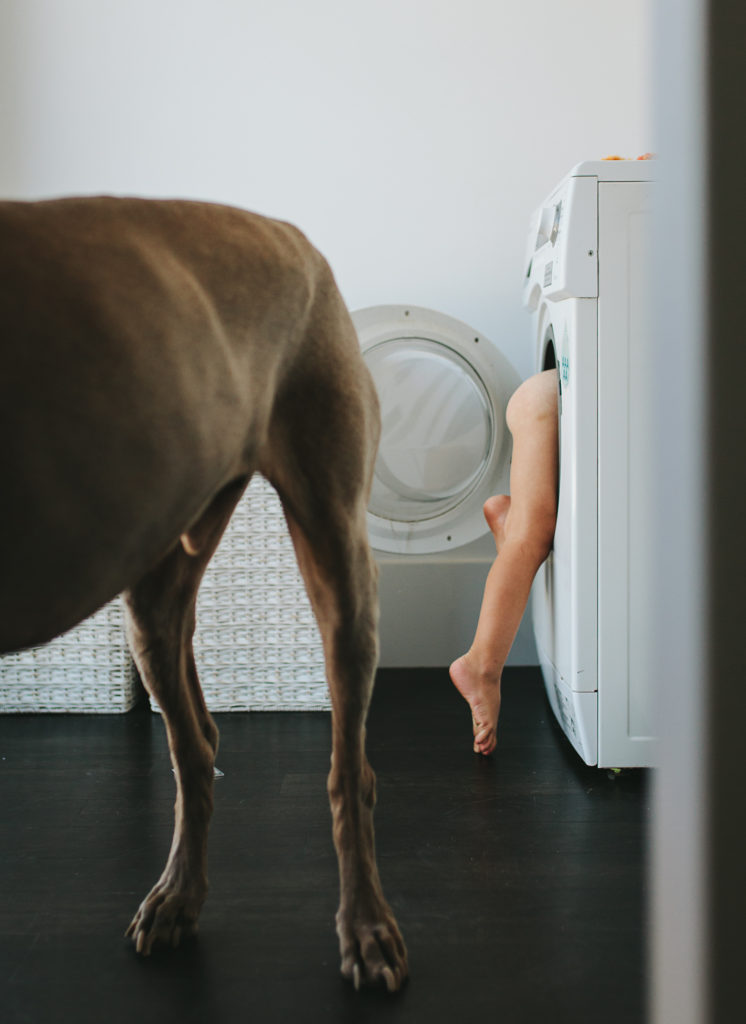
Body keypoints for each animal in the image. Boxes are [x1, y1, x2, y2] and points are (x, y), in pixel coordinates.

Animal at [0, 197, 407, 991]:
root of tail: (292, 234)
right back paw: (179, 896)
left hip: (338, 557)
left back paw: (365, 924)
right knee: (195, 747)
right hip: (157, 582)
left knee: (349, 772)